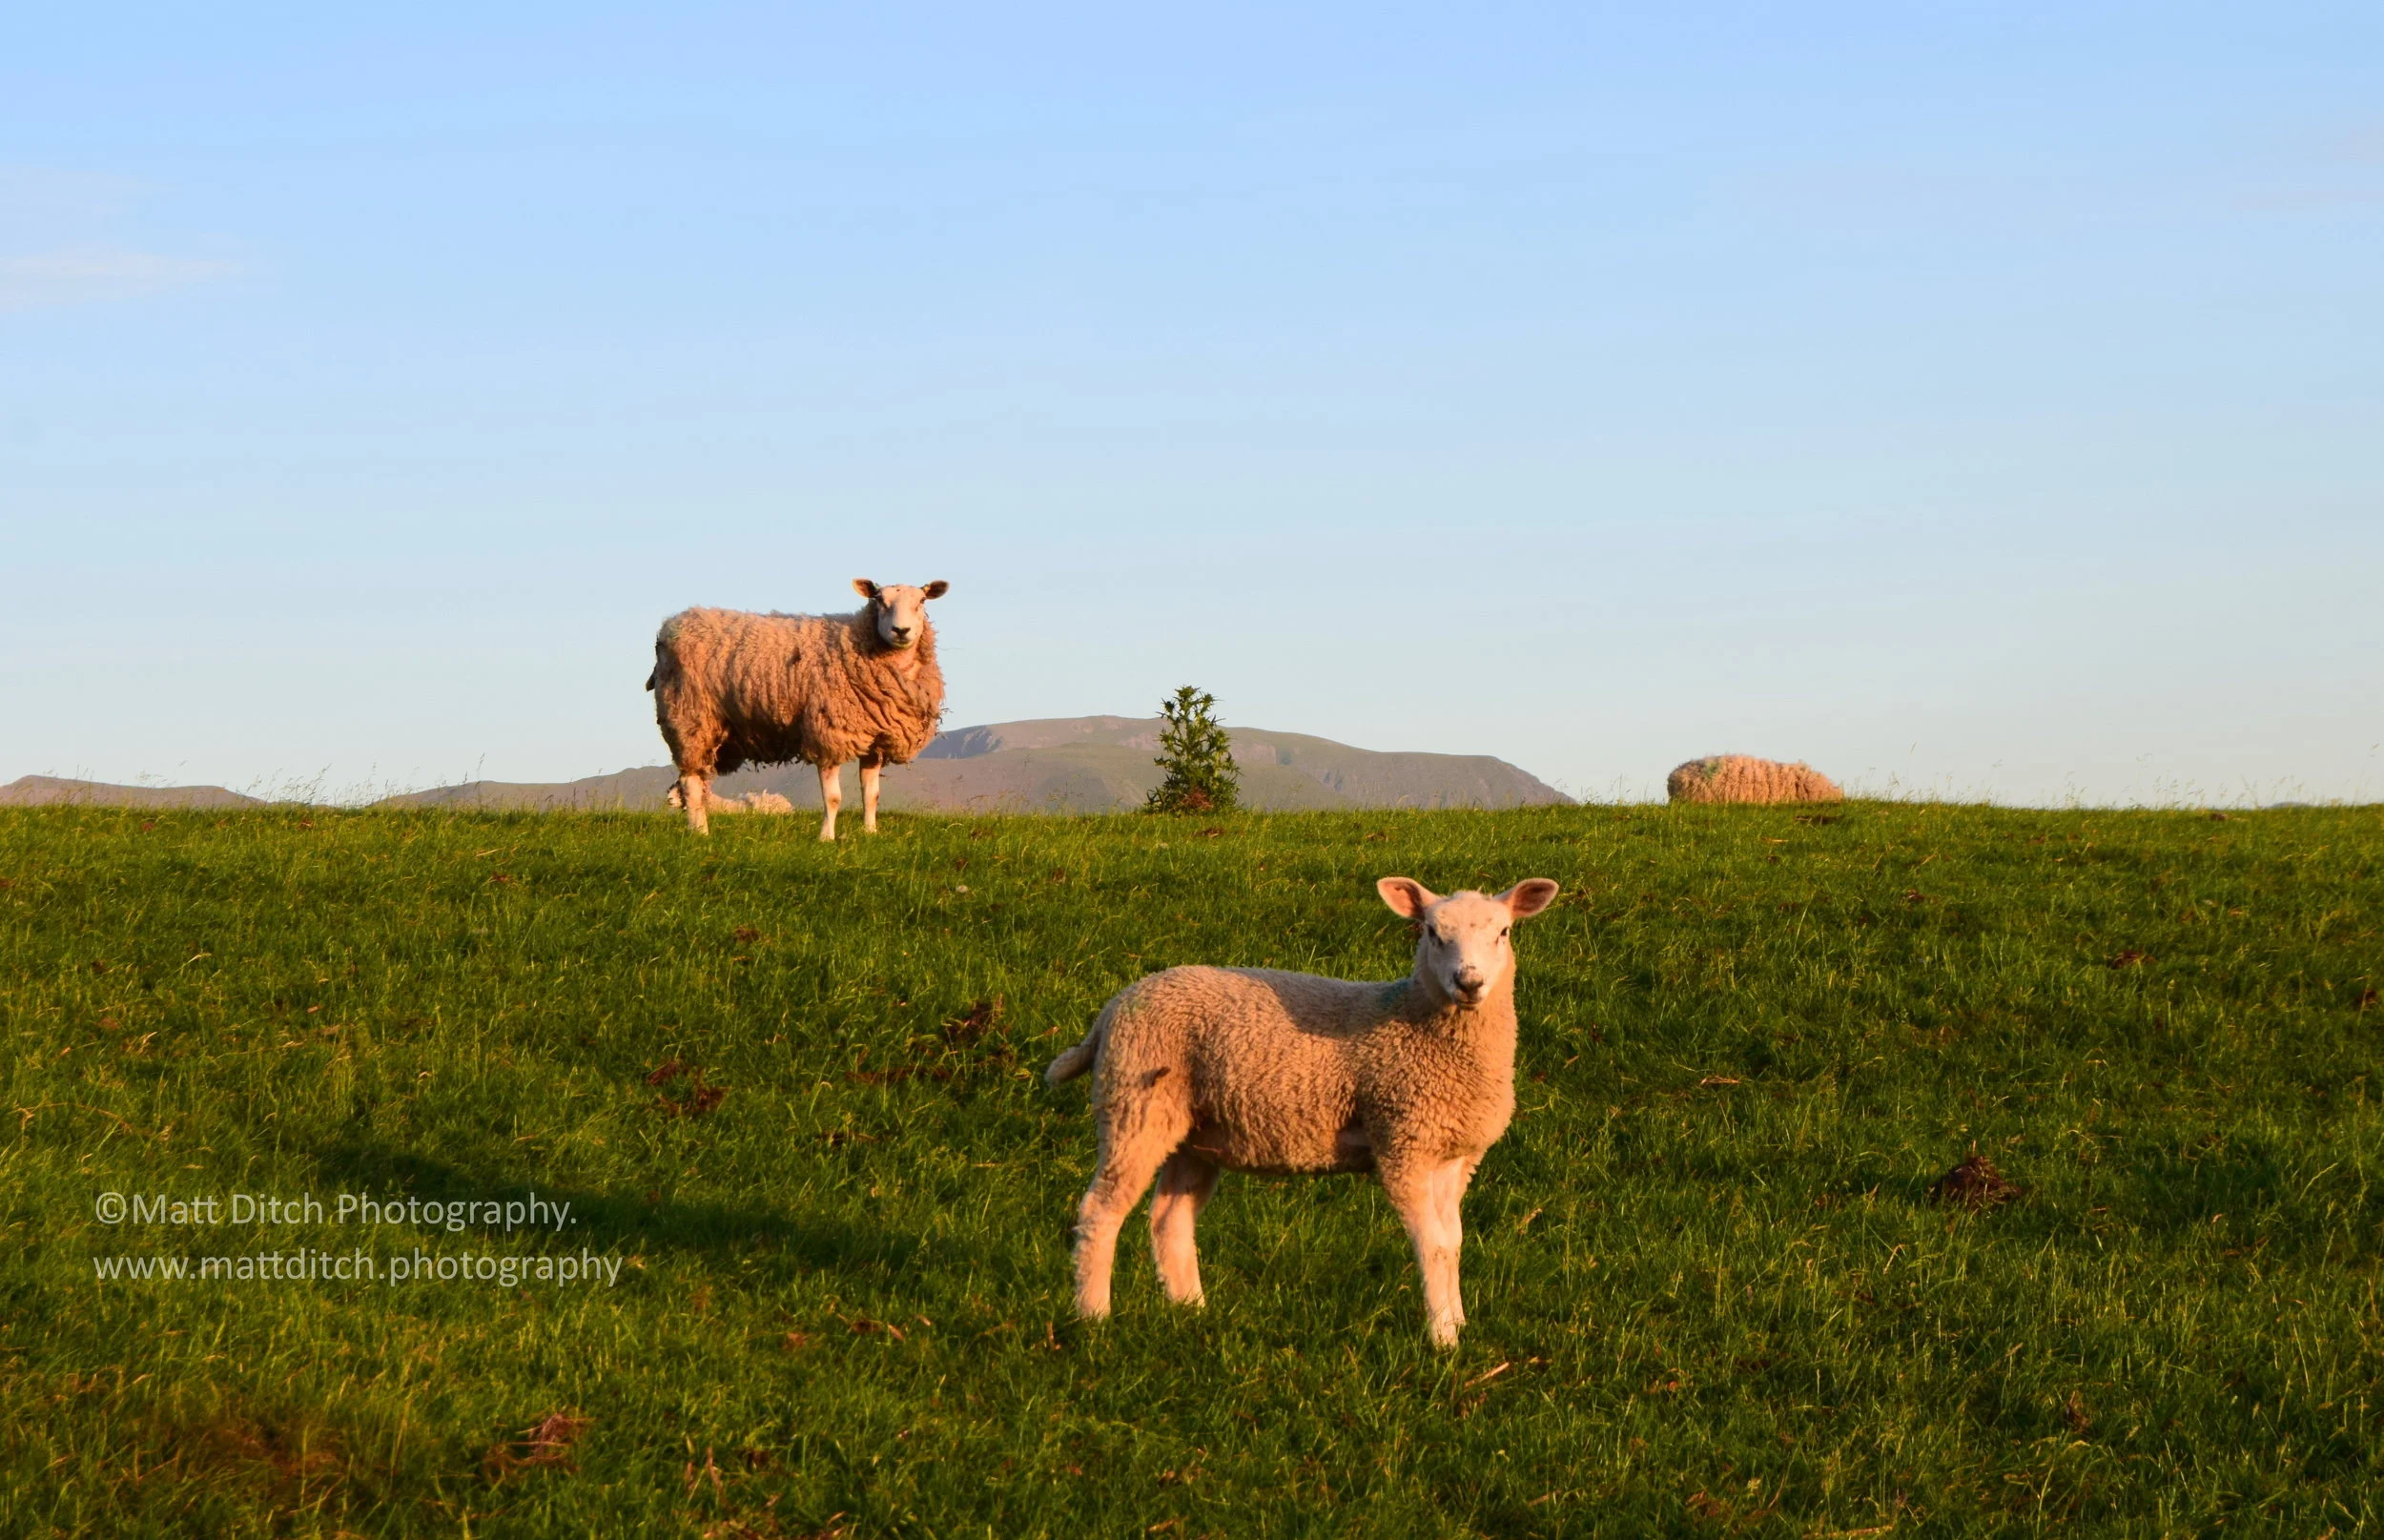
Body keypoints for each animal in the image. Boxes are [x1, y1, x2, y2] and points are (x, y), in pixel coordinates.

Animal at [646, 579, 948, 838]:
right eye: (879, 600)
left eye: (921, 601)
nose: (901, 631)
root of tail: (671, 626)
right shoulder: (827, 733)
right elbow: (833, 797)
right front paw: (826, 838)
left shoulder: (877, 740)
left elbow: (871, 795)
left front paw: (870, 833)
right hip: (689, 718)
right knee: (691, 783)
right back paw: (700, 833)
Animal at [1045, 874, 1562, 1346]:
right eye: (1432, 933)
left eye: (1504, 932)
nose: (1469, 982)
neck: (1418, 1021)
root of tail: (1113, 1007)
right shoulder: (1402, 1144)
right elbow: (1432, 1246)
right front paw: (1443, 1340)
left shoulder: (1454, 1154)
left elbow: (1452, 1242)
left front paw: (1457, 1322)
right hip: (1135, 1104)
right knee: (1101, 1209)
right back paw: (1093, 1316)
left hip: (1194, 1130)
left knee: (1169, 1218)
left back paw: (1190, 1309)